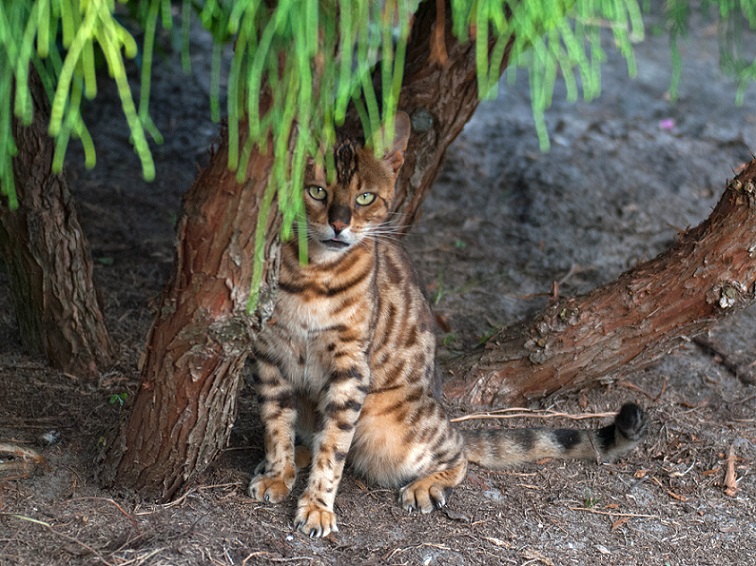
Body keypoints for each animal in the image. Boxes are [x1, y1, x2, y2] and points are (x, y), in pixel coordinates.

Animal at [250, 112, 648, 540]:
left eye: (365, 198)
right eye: (317, 191)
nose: (339, 225)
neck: (313, 275)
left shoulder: (350, 366)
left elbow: (334, 446)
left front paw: (318, 507)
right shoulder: (270, 353)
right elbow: (276, 423)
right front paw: (278, 473)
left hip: (389, 428)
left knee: (456, 452)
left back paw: (426, 484)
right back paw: (296, 456)